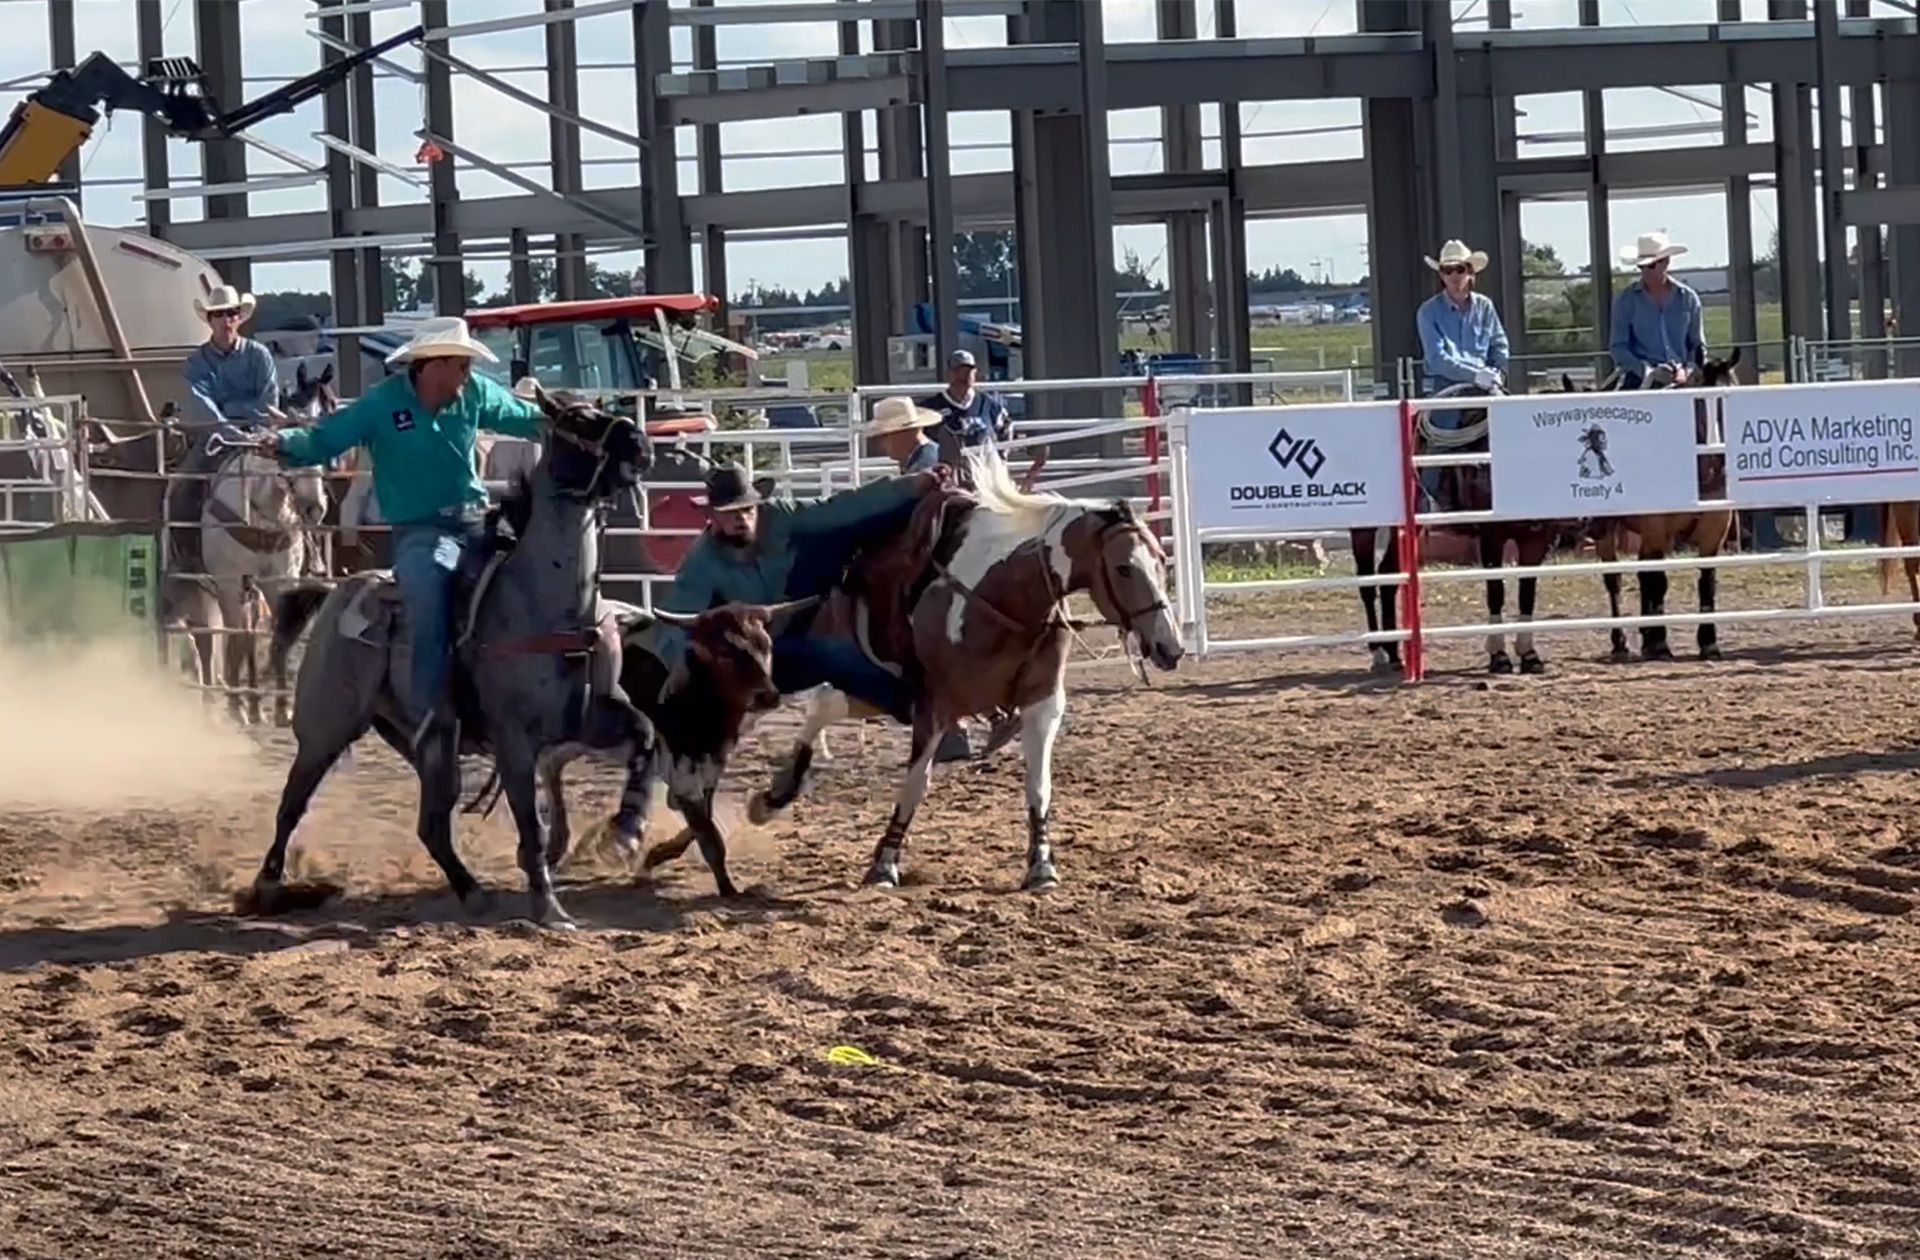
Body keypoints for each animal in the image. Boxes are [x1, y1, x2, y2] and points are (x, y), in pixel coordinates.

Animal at [251, 387, 656, 929]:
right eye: (577, 422)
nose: (640, 443)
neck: (545, 603)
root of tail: (339, 589)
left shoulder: (592, 715)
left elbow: (645, 736)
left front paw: (627, 830)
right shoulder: (513, 740)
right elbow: (531, 823)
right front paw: (548, 907)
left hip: (427, 745)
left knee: (432, 825)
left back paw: (473, 891)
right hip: (325, 729)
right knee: (291, 804)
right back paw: (267, 885)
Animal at [1566, 343, 1751, 660]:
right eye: (1701, 403)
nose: (1722, 454)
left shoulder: (1714, 529)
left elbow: (1707, 580)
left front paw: (1708, 643)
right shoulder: (1656, 528)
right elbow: (1657, 581)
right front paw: (1660, 643)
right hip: (1611, 531)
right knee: (1616, 579)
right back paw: (1622, 642)